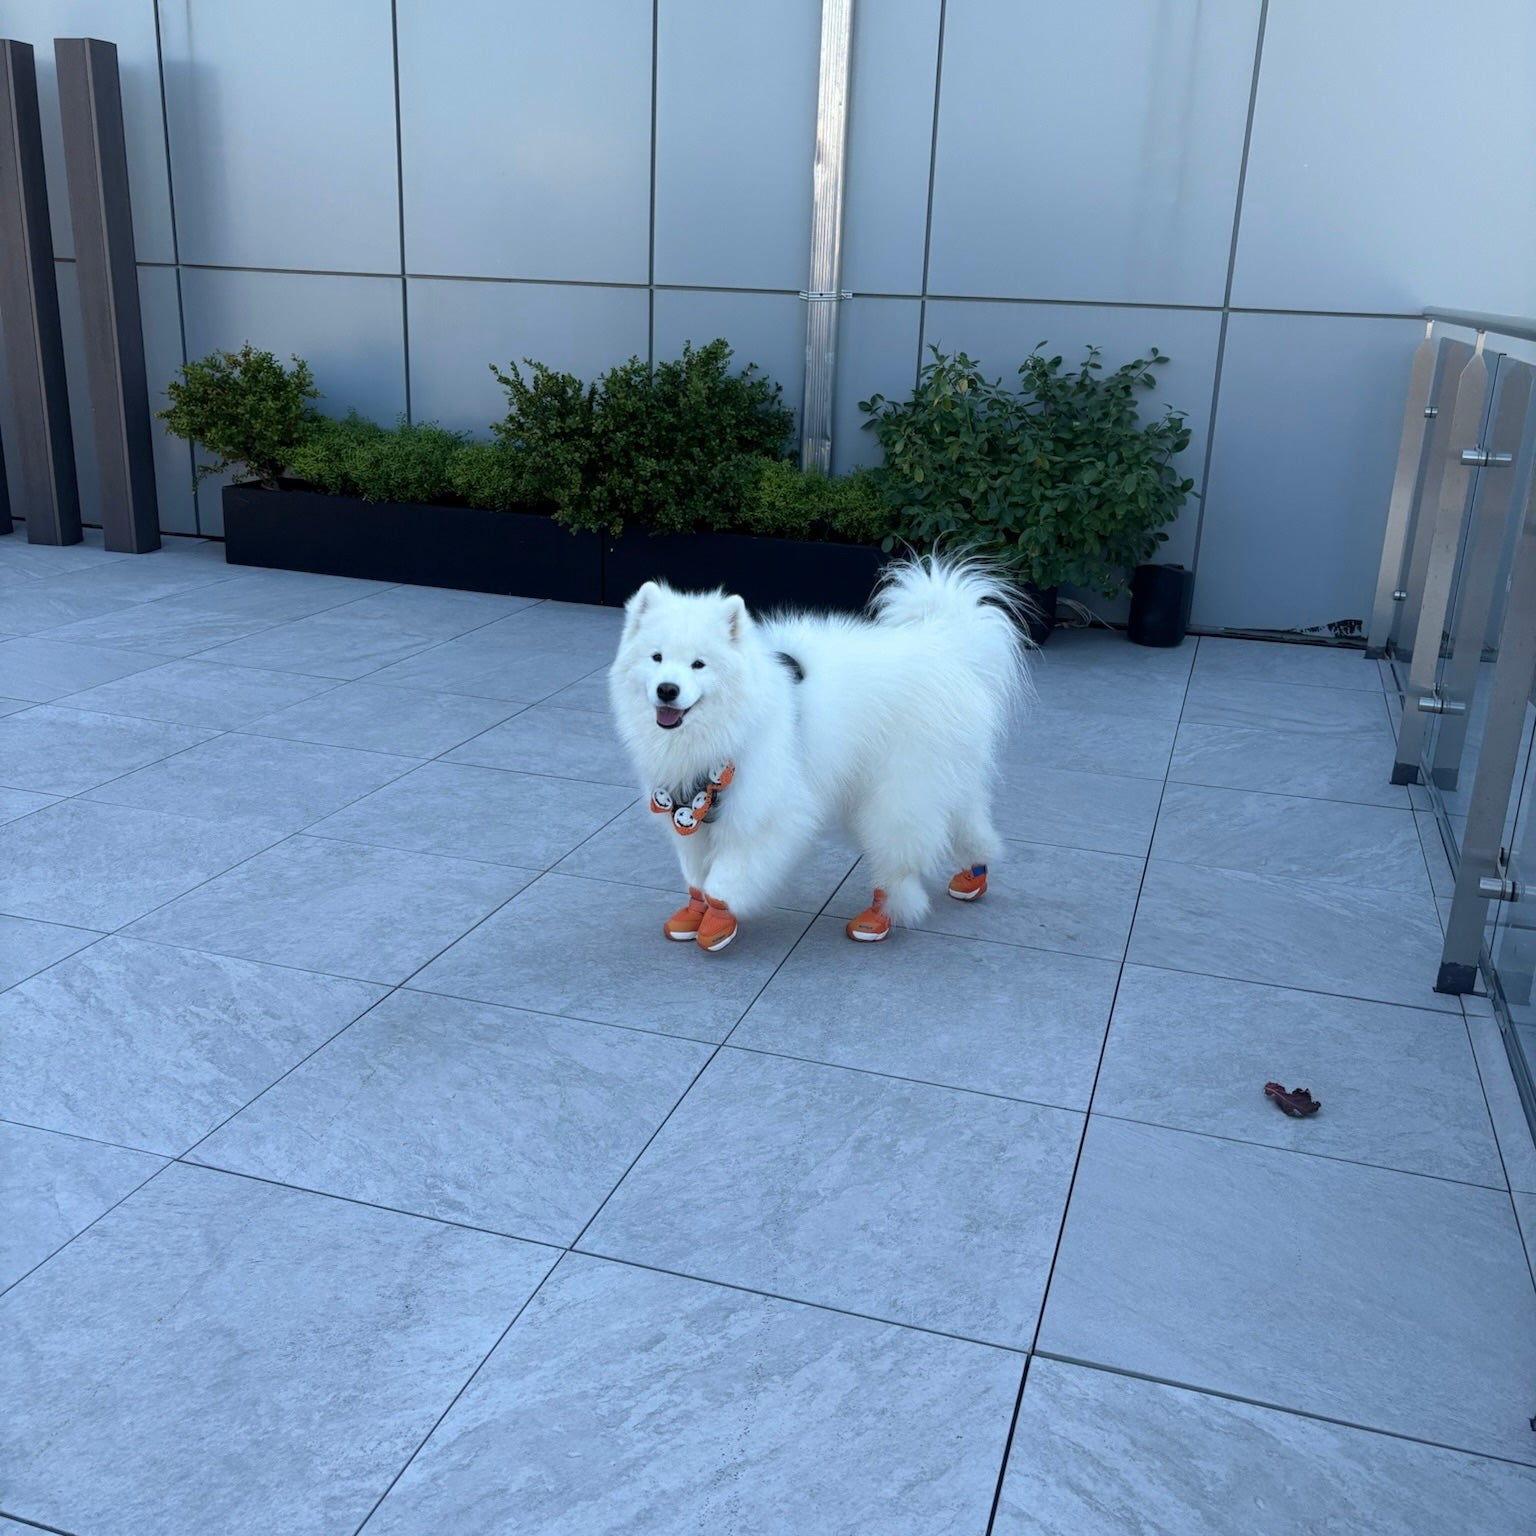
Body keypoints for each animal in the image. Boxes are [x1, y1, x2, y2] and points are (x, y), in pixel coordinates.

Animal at [608, 554, 1031, 952]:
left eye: (699, 664)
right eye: (657, 658)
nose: (667, 690)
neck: (730, 723)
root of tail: (949, 649)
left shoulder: (765, 811)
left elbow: (726, 877)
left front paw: (718, 921)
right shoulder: (689, 811)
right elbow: (695, 875)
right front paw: (693, 914)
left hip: (898, 791)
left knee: (898, 856)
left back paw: (880, 915)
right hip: (935, 780)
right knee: (968, 821)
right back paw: (974, 872)